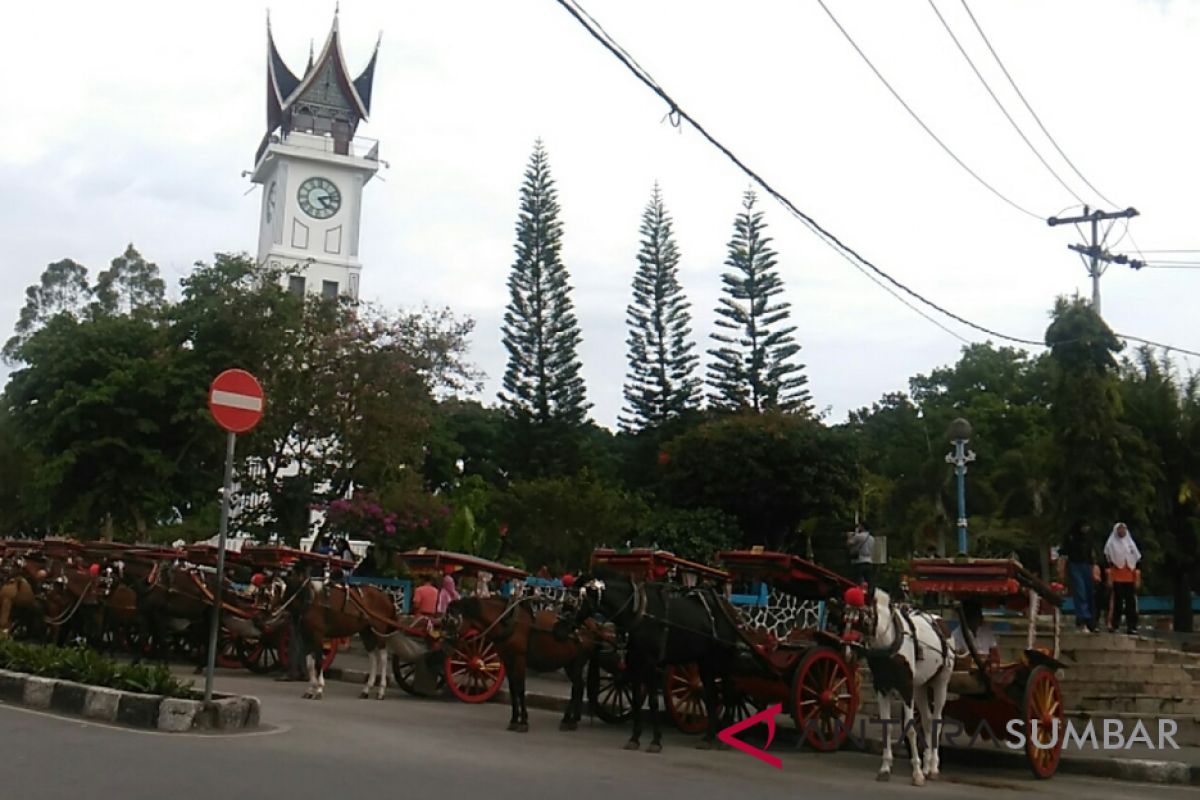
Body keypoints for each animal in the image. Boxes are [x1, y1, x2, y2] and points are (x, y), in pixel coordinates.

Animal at [444, 594, 597, 734]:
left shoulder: (519, 659)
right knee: (578, 687)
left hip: (577, 663)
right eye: (445, 620)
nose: (446, 644)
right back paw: (571, 719)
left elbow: (520, 689)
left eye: (453, 621)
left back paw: (569, 720)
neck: (507, 621)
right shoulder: (507, 660)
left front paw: (523, 721)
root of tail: (590, 626)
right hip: (569, 664)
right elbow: (513, 689)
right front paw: (514, 719)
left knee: (577, 687)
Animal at [561, 568, 739, 753]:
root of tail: (730, 609)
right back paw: (708, 737)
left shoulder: (651, 664)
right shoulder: (634, 663)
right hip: (705, 662)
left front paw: (656, 740)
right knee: (713, 696)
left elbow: (653, 702)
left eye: (573, 601)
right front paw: (634, 738)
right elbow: (636, 701)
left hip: (722, 661)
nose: (558, 629)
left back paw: (723, 735)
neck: (638, 612)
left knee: (729, 693)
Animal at [849, 587, 960, 786]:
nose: (850, 651)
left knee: (937, 720)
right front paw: (885, 768)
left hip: (941, 683)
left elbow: (910, 729)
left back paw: (933, 767)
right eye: (843, 617)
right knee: (927, 720)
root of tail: (939, 620)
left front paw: (917, 773)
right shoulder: (882, 688)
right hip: (921, 686)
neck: (890, 640)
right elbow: (887, 727)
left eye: (863, 619)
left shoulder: (906, 688)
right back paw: (927, 765)